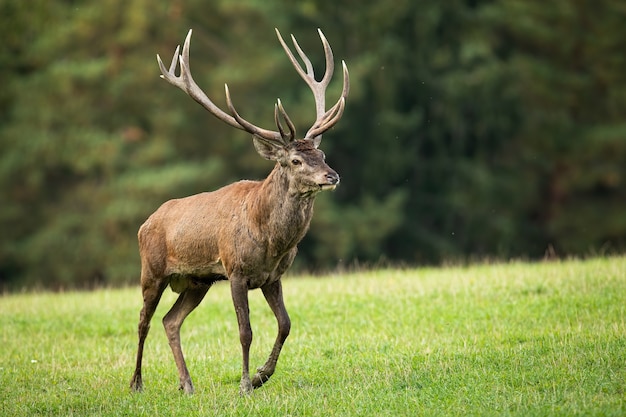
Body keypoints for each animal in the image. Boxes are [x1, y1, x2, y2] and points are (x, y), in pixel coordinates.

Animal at [130, 27, 348, 394]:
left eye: (322, 154)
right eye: (295, 160)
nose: (332, 176)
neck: (272, 240)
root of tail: (145, 224)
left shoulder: (273, 277)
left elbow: (286, 324)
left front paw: (262, 375)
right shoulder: (235, 270)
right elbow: (245, 331)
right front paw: (246, 383)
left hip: (197, 281)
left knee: (170, 321)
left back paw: (187, 384)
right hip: (153, 269)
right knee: (143, 321)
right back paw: (136, 383)